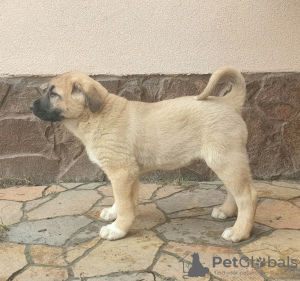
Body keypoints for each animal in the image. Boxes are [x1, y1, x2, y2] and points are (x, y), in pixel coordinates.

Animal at [31, 66, 258, 242]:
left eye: (53, 94)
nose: (30, 106)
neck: (97, 116)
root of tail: (228, 103)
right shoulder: (130, 173)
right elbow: (125, 200)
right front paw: (115, 214)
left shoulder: (121, 172)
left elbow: (124, 203)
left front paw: (118, 229)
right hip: (224, 159)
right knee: (234, 190)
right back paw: (226, 211)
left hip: (225, 158)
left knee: (247, 195)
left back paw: (239, 232)